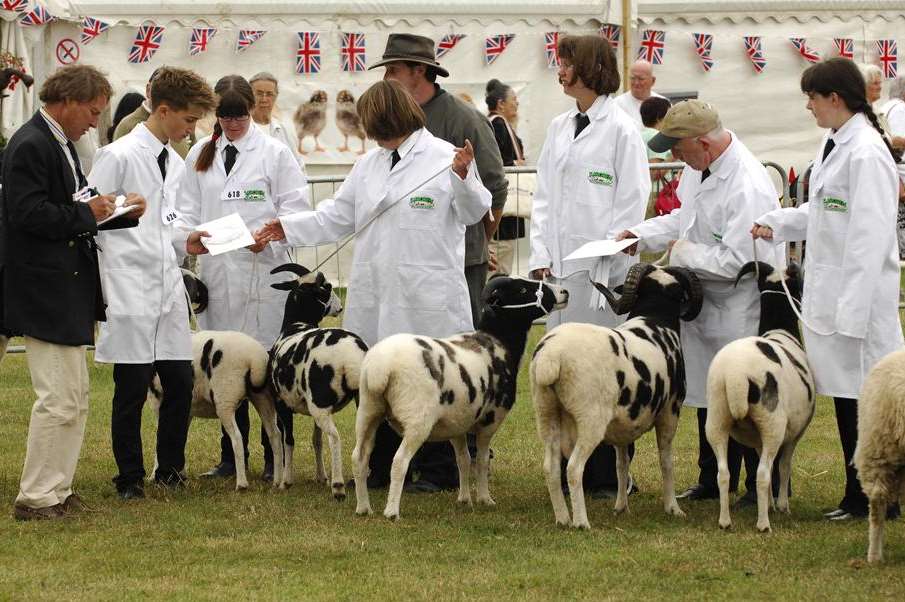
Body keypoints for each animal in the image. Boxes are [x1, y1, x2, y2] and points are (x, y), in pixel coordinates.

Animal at [147, 330, 282, 490]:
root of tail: (256, 358)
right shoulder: (187, 411)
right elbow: (180, 438)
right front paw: (179, 473)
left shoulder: (159, 403)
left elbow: (160, 439)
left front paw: (154, 476)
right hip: (263, 397)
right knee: (275, 435)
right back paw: (276, 481)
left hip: (225, 400)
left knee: (237, 438)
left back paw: (241, 484)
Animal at [268, 262, 368, 496]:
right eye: (327, 287)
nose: (339, 307)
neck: (295, 325)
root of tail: (349, 355)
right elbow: (316, 440)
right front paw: (321, 476)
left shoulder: (282, 403)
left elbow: (289, 440)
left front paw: (286, 481)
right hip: (363, 399)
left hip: (320, 404)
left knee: (335, 437)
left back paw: (338, 486)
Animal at [352, 274, 564, 516]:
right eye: (521, 290)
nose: (564, 293)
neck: (499, 341)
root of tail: (381, 367)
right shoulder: (490, 420)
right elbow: (481, 460)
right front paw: (485, 499)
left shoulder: (456, 423)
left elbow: (463, 459)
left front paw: (464, 499)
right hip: (417, 420)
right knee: (399, 462)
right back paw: (391, 512)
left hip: (368, 411)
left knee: (359, 458)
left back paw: (363, 507)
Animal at [528, 264, 708, 528]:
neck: (656, 319)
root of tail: (552, 356)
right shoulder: (670, 412)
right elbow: (666, 461)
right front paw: (673, 508)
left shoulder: (623, 425)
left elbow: (621, 465)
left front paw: (621, 507)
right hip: (590, 419)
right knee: (574, 468)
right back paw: (581, 523)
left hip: (546, 413)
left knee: (550, 468)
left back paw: (562, 519)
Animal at [704, 260, 816, 532]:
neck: (779, 330)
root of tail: (735, 375)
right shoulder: (795, 432)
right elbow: (783, 467)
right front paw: (782, 506)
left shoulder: (756, 438)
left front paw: (771, 504)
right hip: (772, 421)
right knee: (763, 474)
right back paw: (763, 524)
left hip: (717, 420)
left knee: (724, 473)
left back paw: (725, 521)